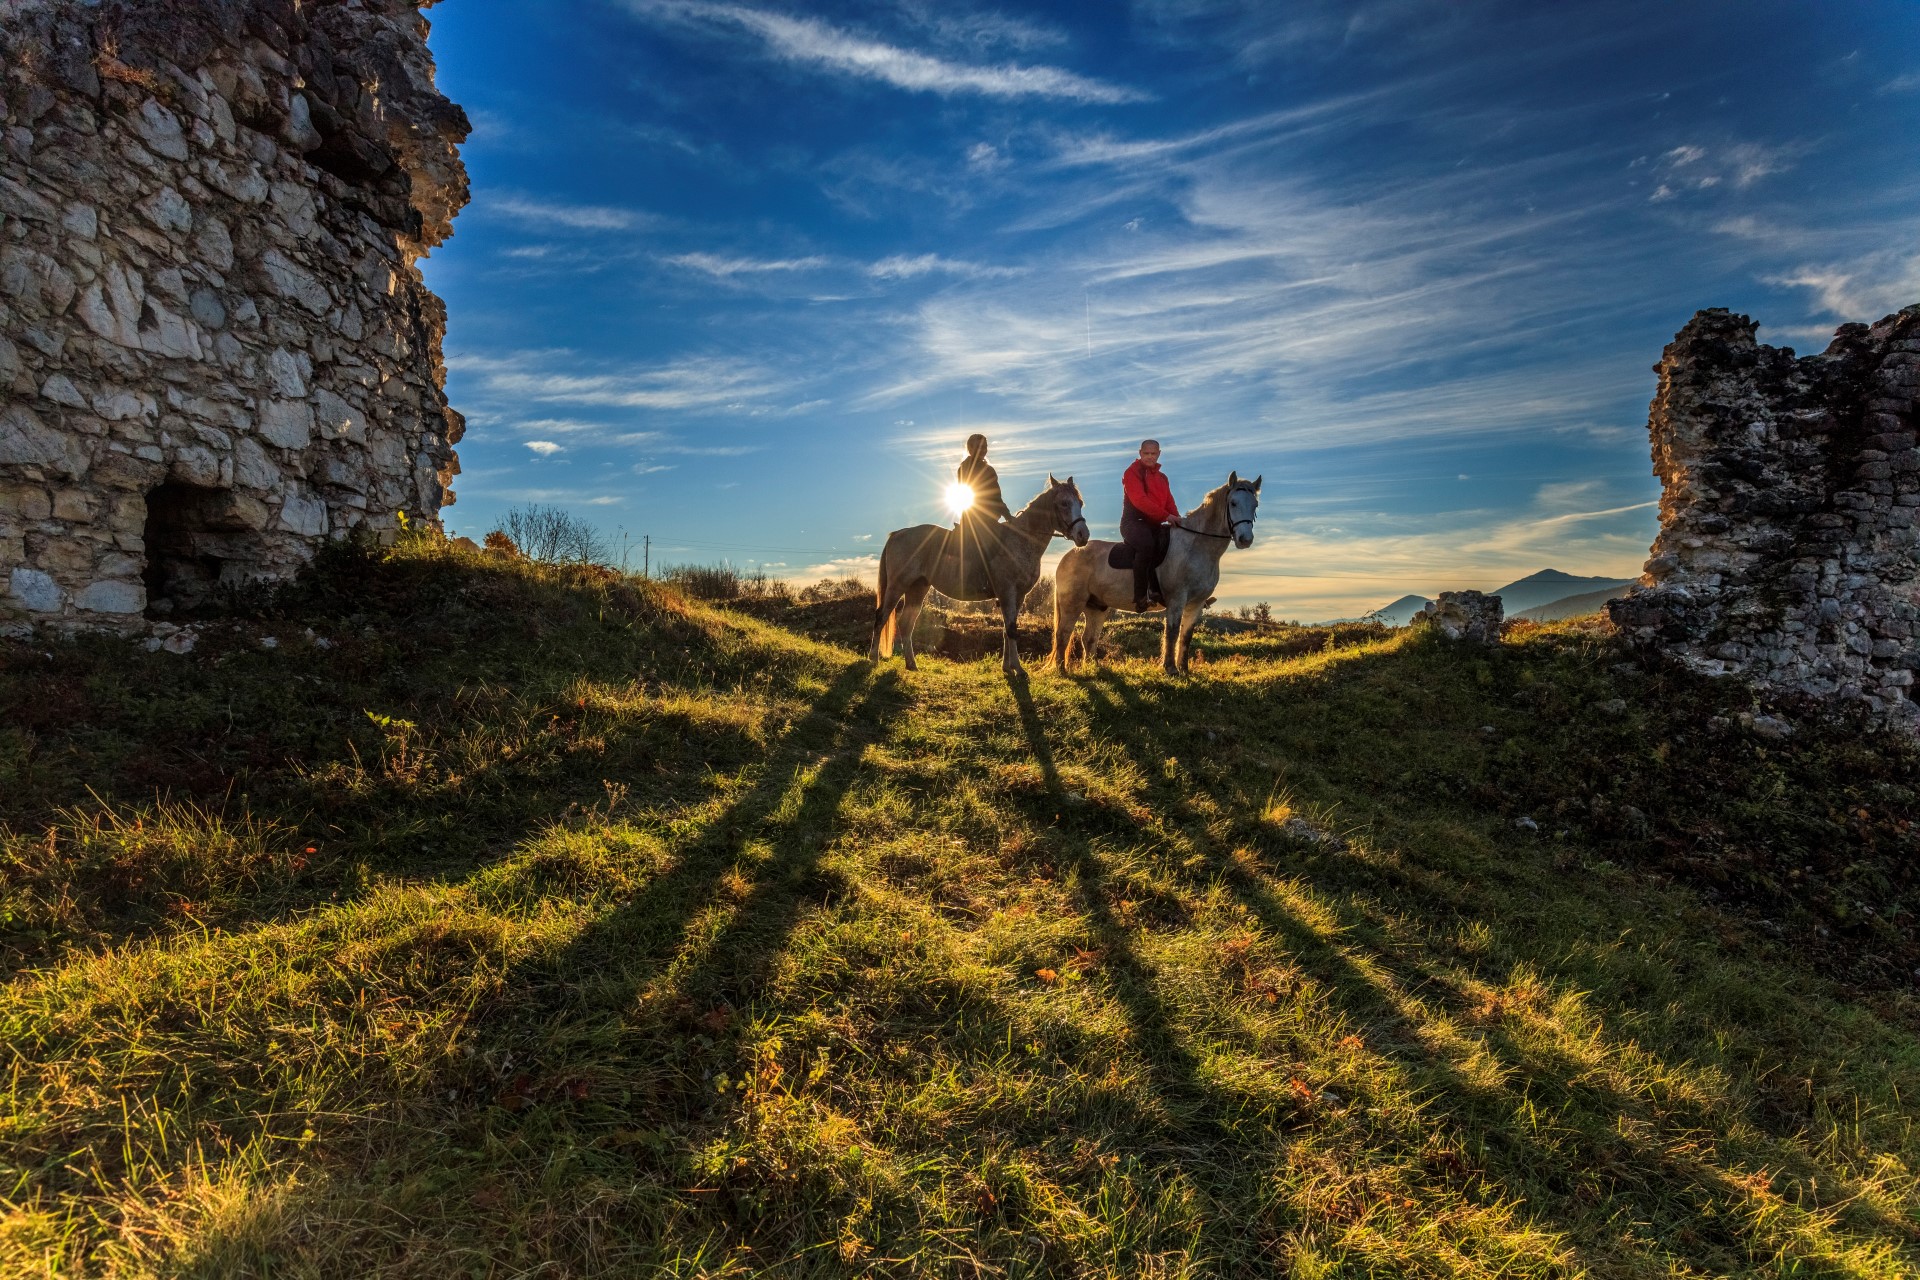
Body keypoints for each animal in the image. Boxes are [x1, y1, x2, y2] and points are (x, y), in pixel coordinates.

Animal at [875, 477, 1090, 675]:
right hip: (897, 586)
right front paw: (1018, 669)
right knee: (881, 616)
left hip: (917, 588)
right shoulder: (1008, 593)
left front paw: (1007, 667)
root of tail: (898, 534)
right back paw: (872, 658)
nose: (1083, 535)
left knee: (906, 624)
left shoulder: (1018, 596)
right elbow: (1011, 629)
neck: (1021, 539)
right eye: (1064, 503)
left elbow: (1007, 629)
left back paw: (911, 664)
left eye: (1080, 503)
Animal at [1052, 468, 1259, 671]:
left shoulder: (1196, 604)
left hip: (1096, 607)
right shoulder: (1177, 599)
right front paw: (1170, 668)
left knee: (1088, 638)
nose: (1245, 540)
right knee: (1063, 634)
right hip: (1073, 603)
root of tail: (1069, 555)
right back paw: (1062, 670)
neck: (1196, 546)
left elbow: (1186, 636)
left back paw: (1093, 669)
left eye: (1255, 505)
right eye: (1233, 503)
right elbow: (1172, 633)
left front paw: (1184, 670)